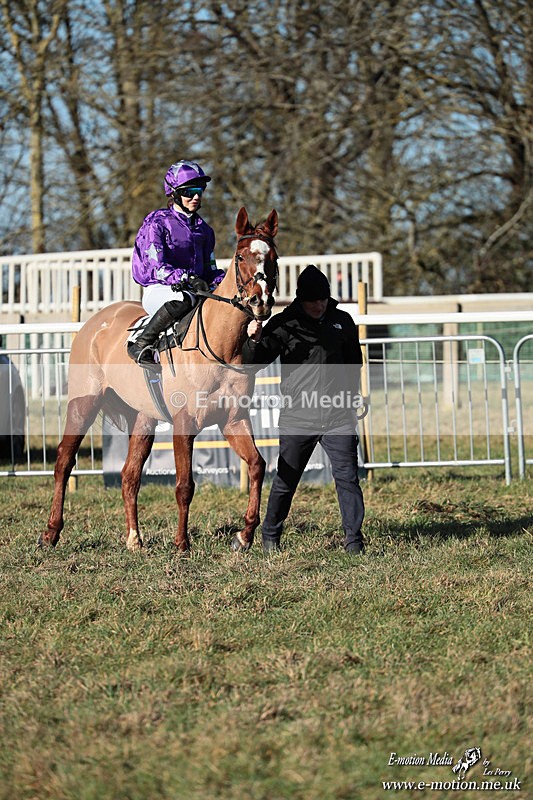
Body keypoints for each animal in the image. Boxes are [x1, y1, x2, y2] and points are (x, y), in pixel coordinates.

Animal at [39, 207, 278, 553]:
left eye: (272, 257)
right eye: (240, 256)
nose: (260, 302)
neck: (218, 345)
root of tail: (96, 323)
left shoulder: (234, 419)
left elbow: (258, 465)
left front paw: (244, 534)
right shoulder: (184, 422)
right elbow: (184, 485)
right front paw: (182, 544)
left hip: (142, 419)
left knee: (129, 476)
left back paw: (134, 538)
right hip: (83, 404)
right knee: (63, 462)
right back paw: (51, 532)